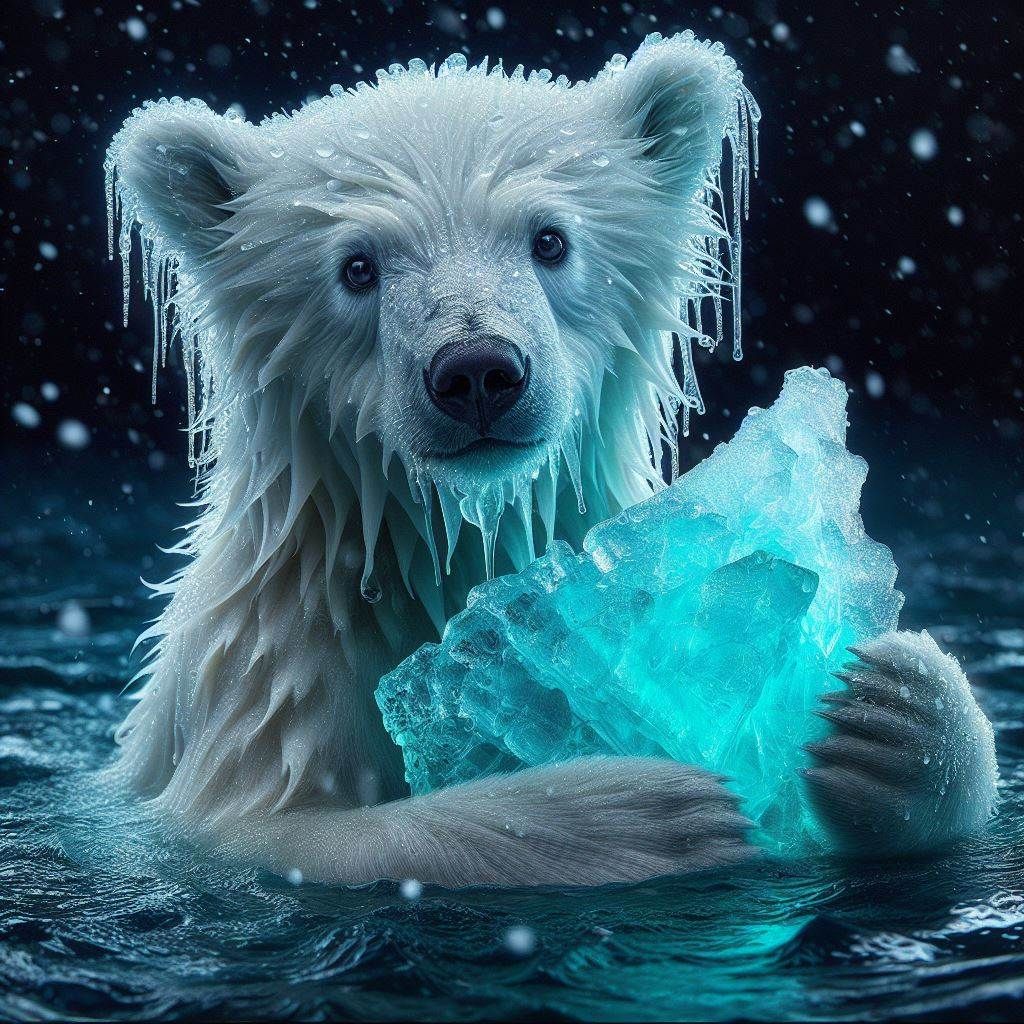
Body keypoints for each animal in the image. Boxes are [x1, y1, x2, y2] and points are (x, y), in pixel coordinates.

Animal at [104, 31, 997, 887]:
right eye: (357, 266)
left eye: (549, 240)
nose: (476, 371)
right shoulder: (275, 667)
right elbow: (276, 834)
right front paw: (639, 812)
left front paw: (896, 712)